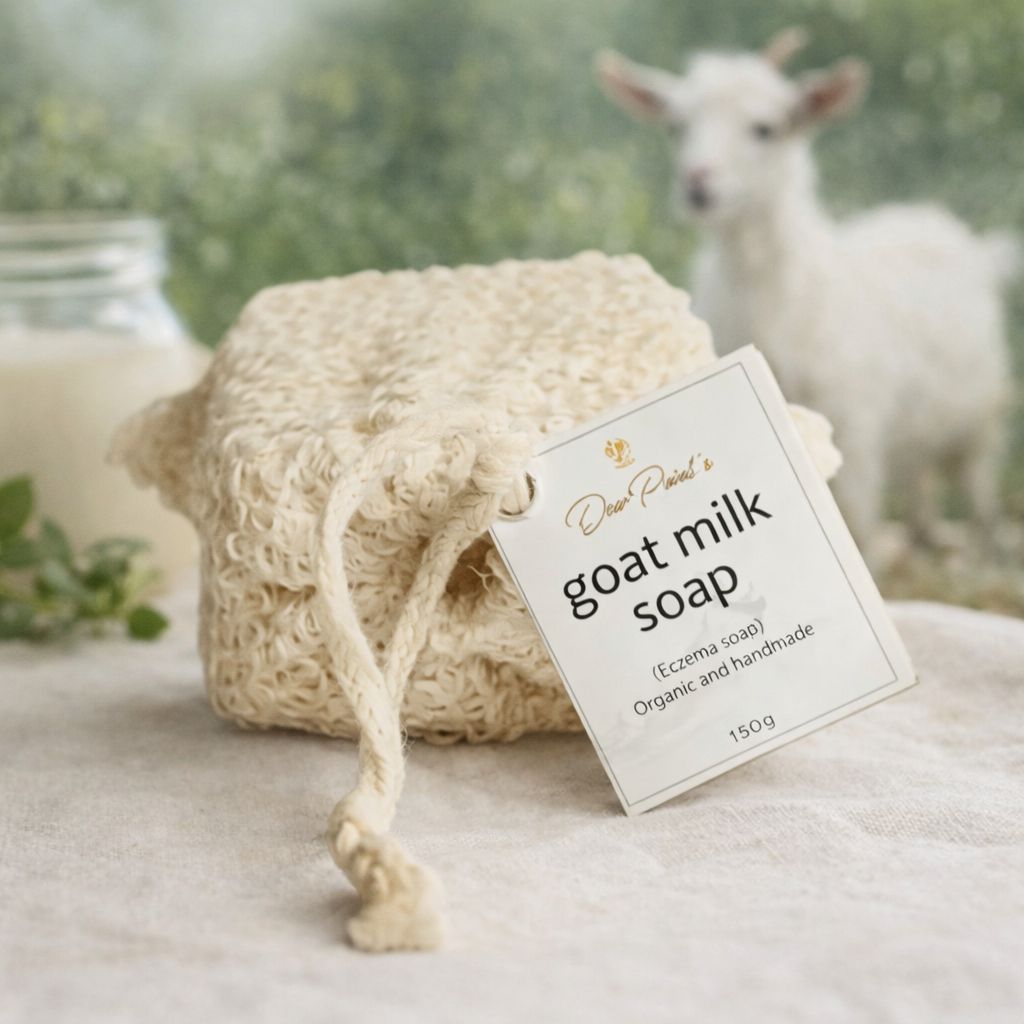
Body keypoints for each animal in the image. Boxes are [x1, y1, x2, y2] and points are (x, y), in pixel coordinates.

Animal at [597, 28, 1017, 555]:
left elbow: (855, 522)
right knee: (919, 480)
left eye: (765, 128)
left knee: (976, 488)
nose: (697, 181)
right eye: (676, 127)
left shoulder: (854, 431)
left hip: (981, 419)